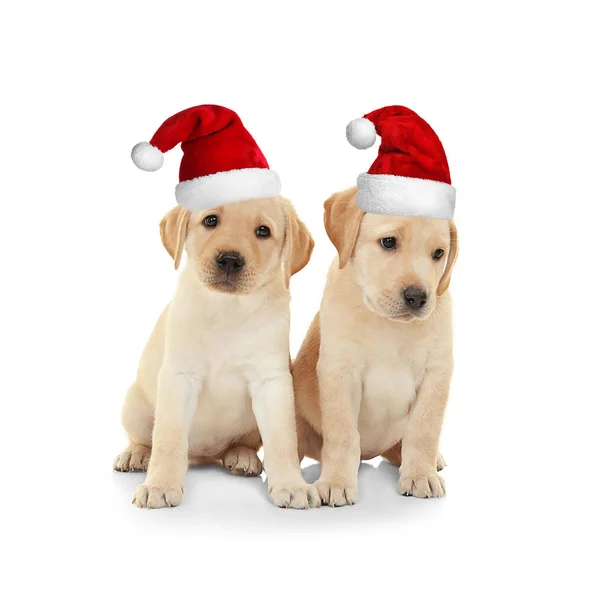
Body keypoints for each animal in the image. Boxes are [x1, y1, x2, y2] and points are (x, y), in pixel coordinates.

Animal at [116, 197, 322, 510]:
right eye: (211, 220)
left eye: (263, 231)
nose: (230, 260)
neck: (228, 308)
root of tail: (204, 456)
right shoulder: (180, 377)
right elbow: (168, 439)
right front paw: (160, 485)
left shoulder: (272, 382)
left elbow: (282, 440)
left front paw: (291, 485)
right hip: (135, 406)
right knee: (145, 439)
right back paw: (136, 454)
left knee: (243, 444)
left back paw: (242, 456)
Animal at [292, 185, 456, 504]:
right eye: (388, 242)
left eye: (438, 253)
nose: (418, 297)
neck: (389, 326)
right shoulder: (340, 372)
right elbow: (343, 435)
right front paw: (336, 482)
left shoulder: (437, 374)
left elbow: (424, 430)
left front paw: (421, 475)